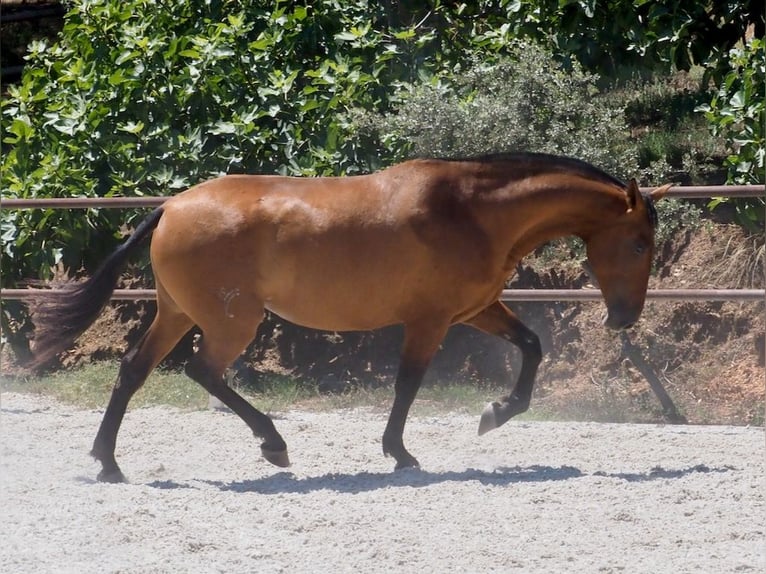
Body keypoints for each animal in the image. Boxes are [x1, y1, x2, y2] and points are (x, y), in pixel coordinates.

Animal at [28, 152, 672, 482]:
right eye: (640, 242)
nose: (624, 318)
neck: (472, 210)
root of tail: (169, 207)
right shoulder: (431, 320)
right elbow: (408, 384)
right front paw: (402, 454)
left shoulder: (477, 309)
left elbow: (532, 346)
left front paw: (494, 415)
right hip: (231, 322)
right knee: (201, 372)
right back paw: (274, 445)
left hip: (178, 312)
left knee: (134, 371)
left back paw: (109, 464)